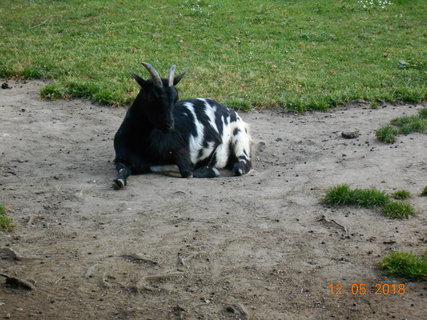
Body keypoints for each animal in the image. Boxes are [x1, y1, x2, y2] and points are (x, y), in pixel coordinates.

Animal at [114, 62, 254, 190]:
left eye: (176, 98)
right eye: (154, 97)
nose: (170, 124)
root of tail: (227, 109)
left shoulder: (182, 155)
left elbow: (187, 173)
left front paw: (211, 170)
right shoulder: (120, 159)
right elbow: (123, 170)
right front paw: (119, 181)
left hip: (238, 137)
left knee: (242, 165)